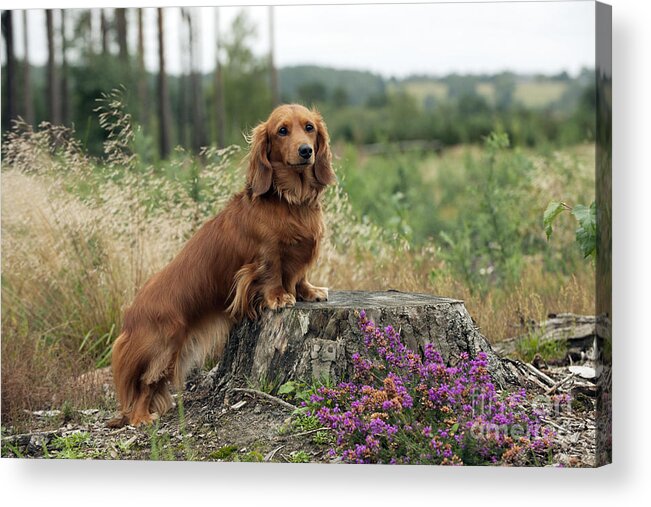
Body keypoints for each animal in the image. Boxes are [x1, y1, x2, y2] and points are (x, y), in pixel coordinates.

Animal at [109, 104, 334, 428]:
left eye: (309, 128)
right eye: (282, 130)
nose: (306, 151)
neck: (290, 201)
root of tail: (130, 316)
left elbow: (300, 275)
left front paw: (310, 291)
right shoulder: (266, 255)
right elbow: (273, 273)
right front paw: (280, 297)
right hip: (162, 348)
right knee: (144, 385)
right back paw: (141, 418)